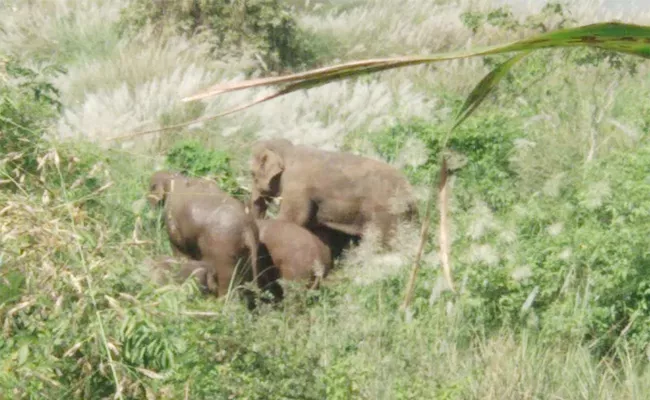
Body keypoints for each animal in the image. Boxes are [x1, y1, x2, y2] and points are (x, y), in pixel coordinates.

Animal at [147, 170, 270, 302]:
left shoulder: (173, 223)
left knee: (225, 282)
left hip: (221, 250)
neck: (176, 177)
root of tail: (247, 229)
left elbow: (179, 249)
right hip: (246, 253)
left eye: (150, 187)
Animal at [248, 138, 420, 247]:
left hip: (386, 211)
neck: (288, 150)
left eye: (251, 174)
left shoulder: (296, 186)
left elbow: (291, 220)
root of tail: (411, 194)